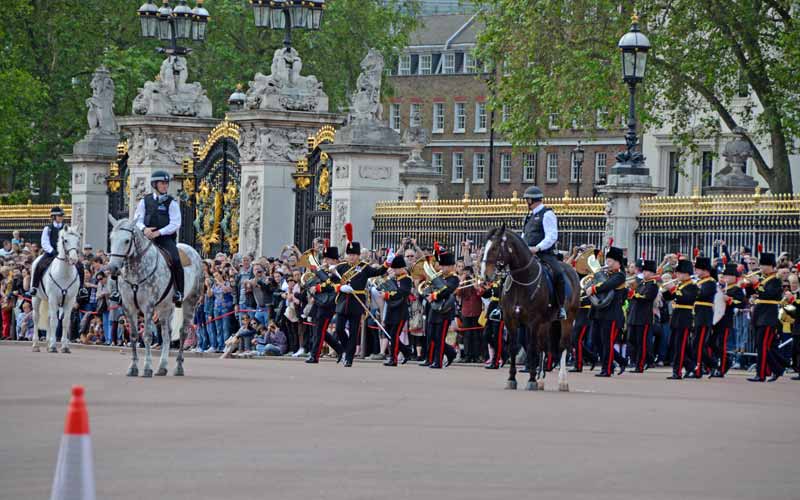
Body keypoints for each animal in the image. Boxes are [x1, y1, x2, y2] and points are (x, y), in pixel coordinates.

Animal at [107, 215, 205, 376]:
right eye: (111, 239)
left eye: (127, 240)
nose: (113, 268)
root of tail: (192, 250)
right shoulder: (128, 306)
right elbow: (134, 336)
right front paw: (133, 367)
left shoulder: (148, 306)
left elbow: (147, 336)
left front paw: (147, 368)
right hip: (165, 307)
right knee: (166, 334)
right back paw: (162, 366)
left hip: (190, 302)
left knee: (183, 332)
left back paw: (178, 367)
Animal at [478, 226, 580, 390]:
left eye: (494, 248)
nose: (484, 276)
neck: (521, 282)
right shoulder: (511, 321)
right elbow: (514, 347)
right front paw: (512, 379)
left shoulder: (533, 322)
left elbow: (531, 347)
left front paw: (531, 380)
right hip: (547, 323)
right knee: (544, 346)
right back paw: (541, 380)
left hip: (568, 320)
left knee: (563, 345)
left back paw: (562, 381)